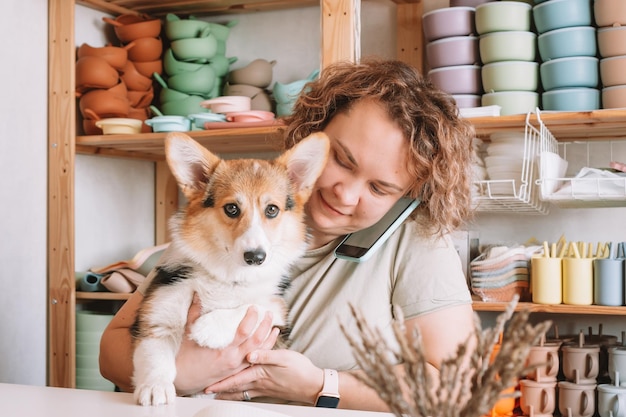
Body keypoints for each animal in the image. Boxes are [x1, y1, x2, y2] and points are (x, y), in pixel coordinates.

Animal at [130, 131, 330, 404]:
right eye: (232, 208)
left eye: (272, 209)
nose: (256, 257)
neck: (229, 277)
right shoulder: (157, 320)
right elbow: (155, 359)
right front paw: (155, 388)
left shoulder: (276, 316)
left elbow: (253, 307)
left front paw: (209, 328)